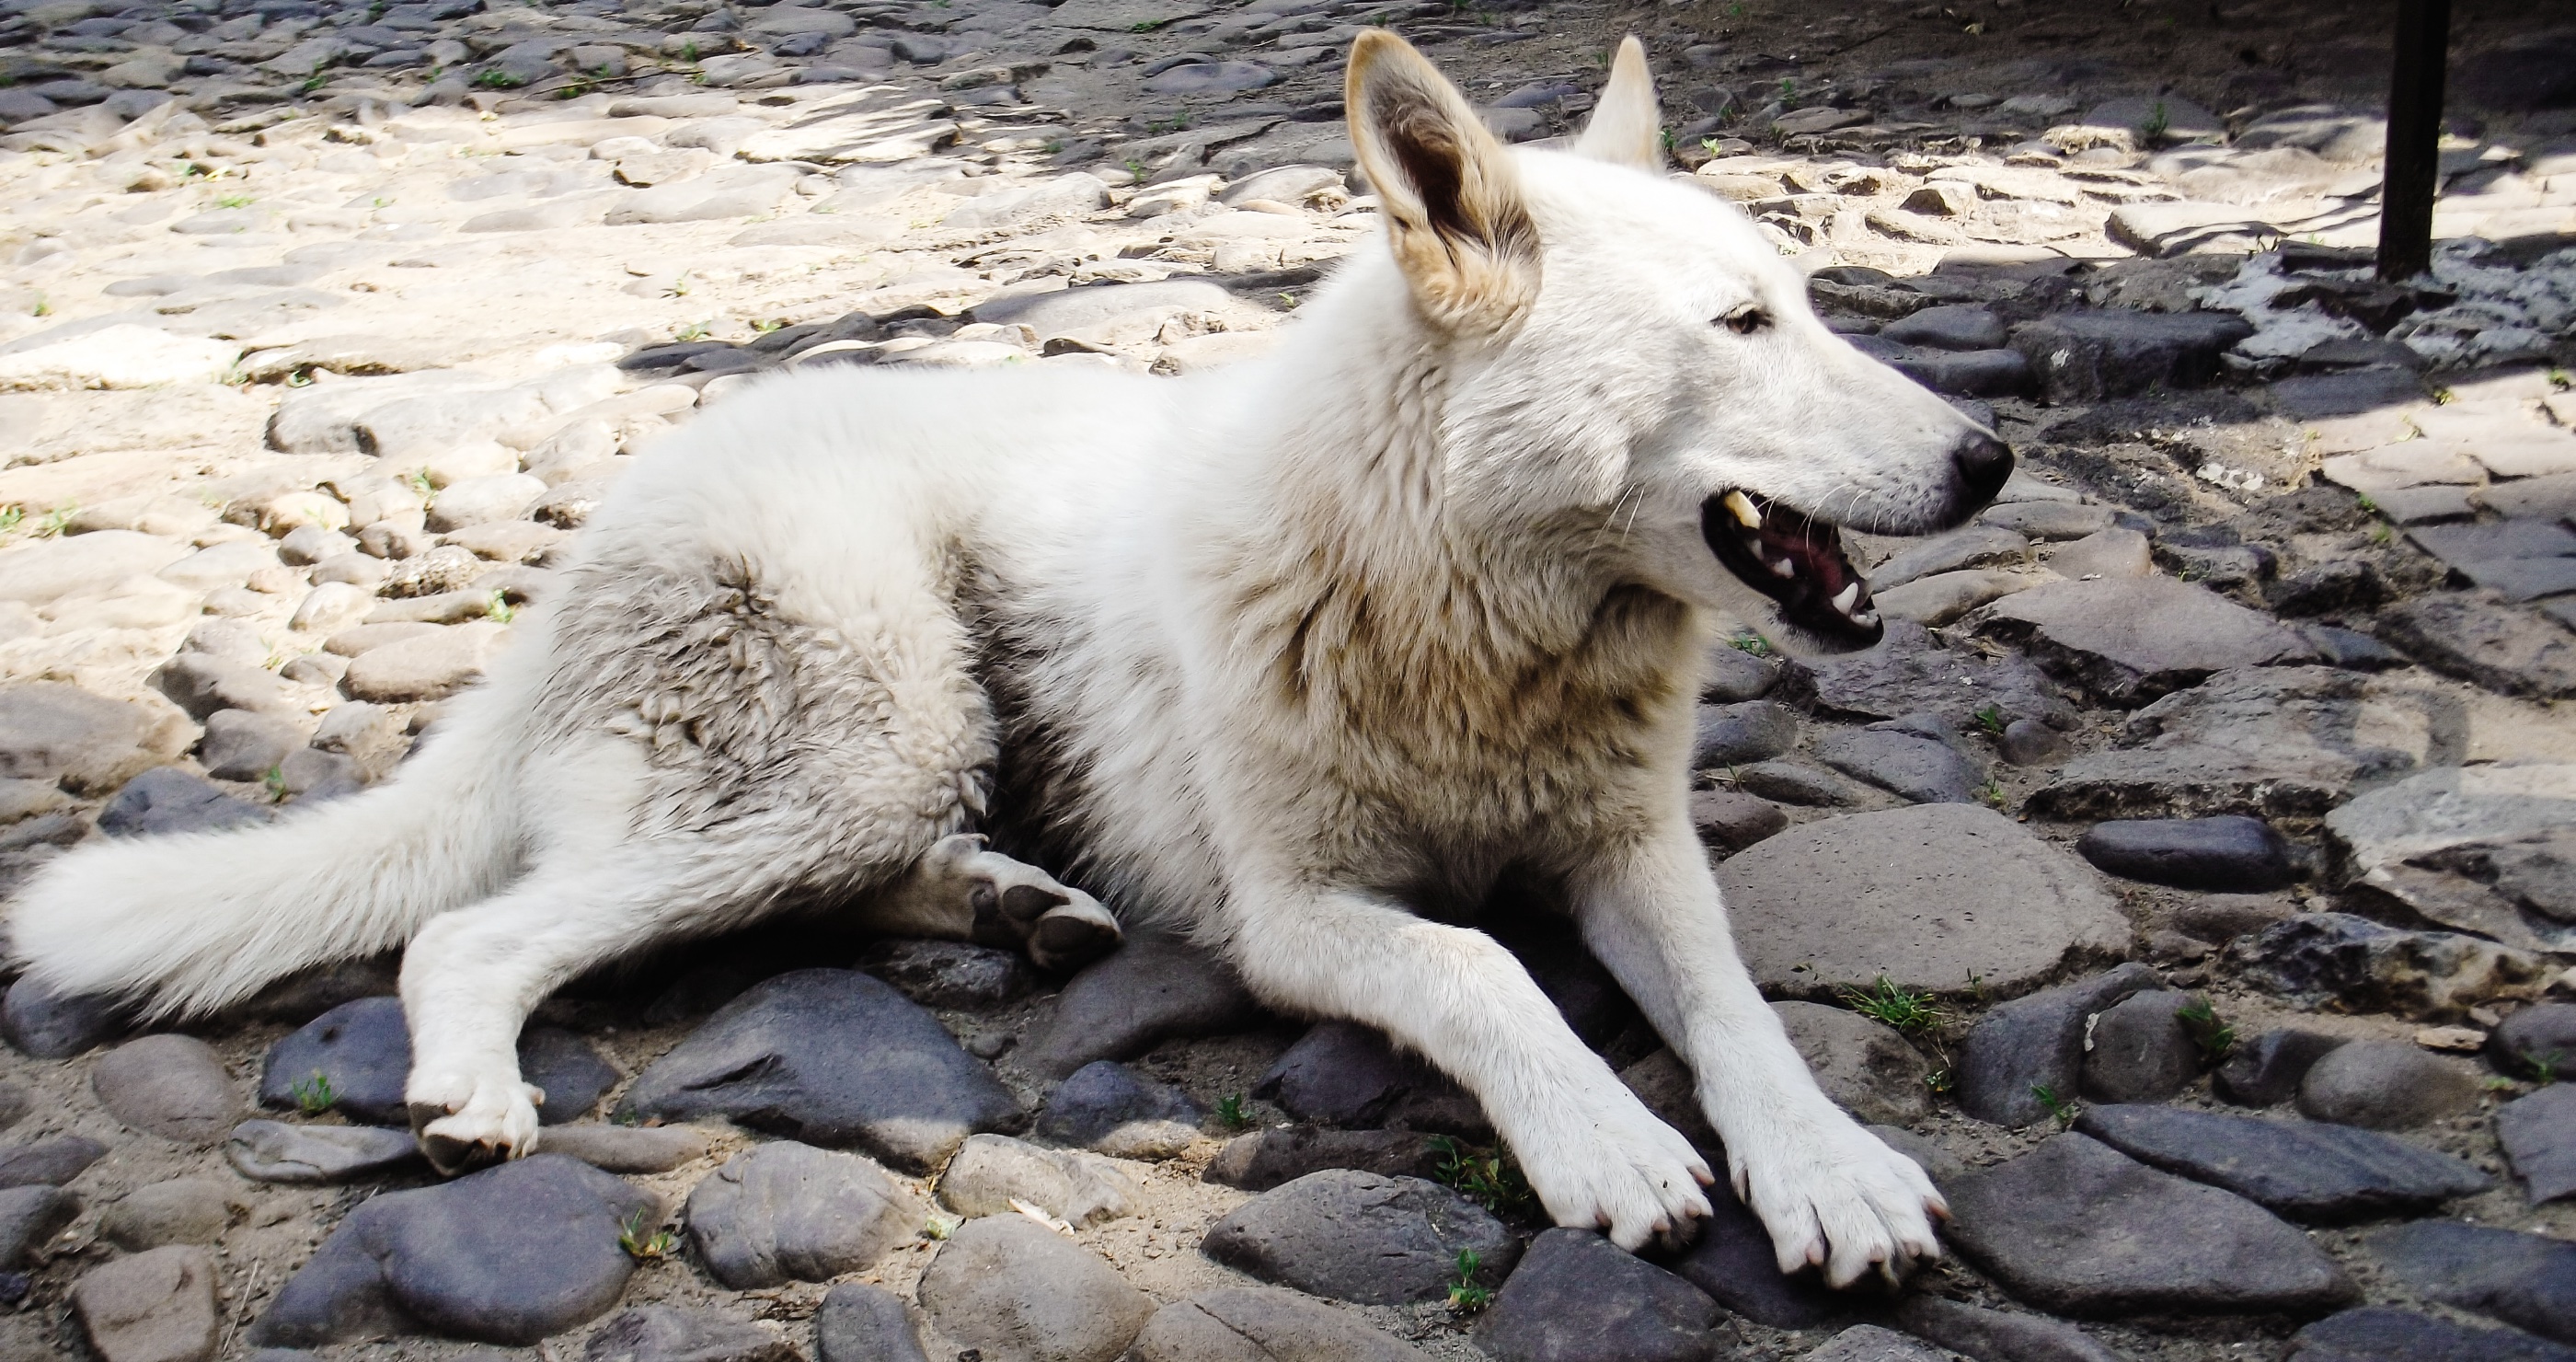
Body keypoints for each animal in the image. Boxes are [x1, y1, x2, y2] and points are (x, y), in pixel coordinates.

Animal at [8, 32, 2010, 1286]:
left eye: (1808, 301)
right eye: (1739, 325)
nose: (1993, 458)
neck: (1455, 601)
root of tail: (600, 534)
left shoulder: (1629, 850)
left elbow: (1734, 1011)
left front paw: (1821, 1163)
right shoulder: (1304, 918)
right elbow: (1483, 973)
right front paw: (1602, 1141)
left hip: (884, 759)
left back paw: (1013, 902)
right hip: (860, 731)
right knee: (477, 931)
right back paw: (484, 1084)